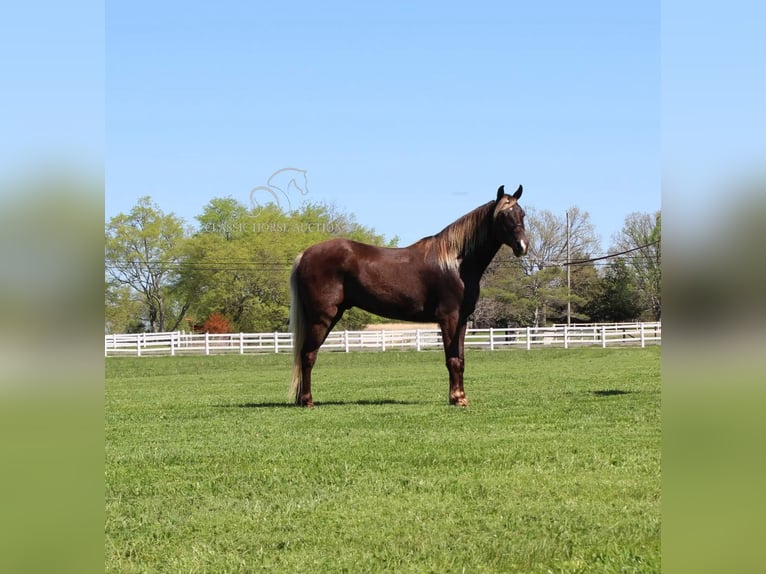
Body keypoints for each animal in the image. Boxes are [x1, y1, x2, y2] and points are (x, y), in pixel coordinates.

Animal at [288, 186, 528, 410]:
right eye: (502, 216)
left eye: (522, 214)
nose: (522, 246)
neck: (455, 263)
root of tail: (305, 255)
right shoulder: (449, 318)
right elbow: (452, 360)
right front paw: (456, 399)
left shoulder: (462, 320)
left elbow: (460, 359)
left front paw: (460, 397)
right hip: (322, 318)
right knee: (308, 355)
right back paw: (308, 401)